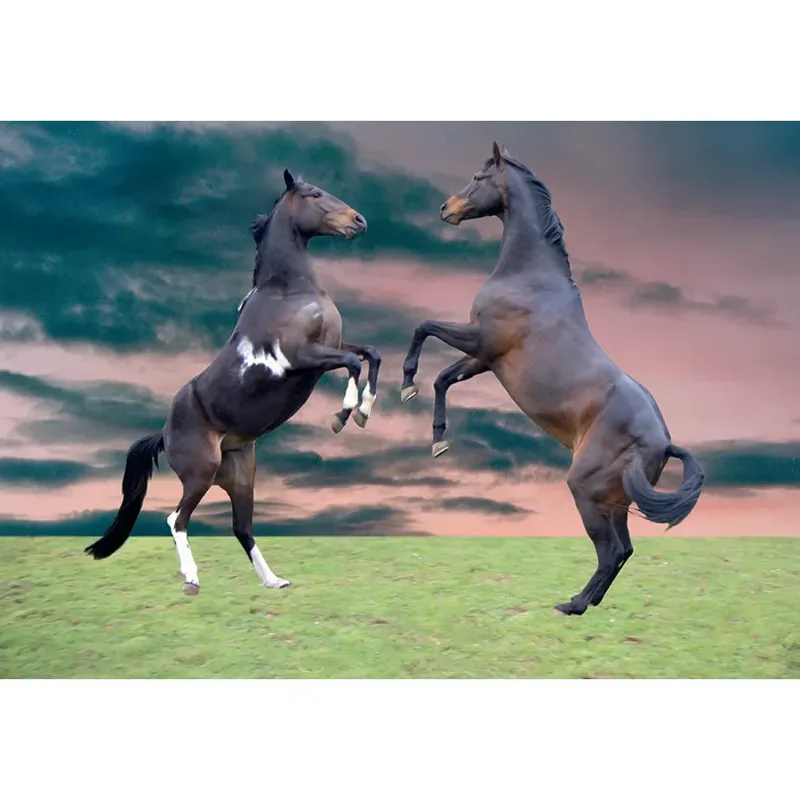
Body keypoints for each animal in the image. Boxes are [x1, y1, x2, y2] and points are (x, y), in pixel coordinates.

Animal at [85, 169, 381, 595]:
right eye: (314, 194)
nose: (359, 221)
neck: (288, 290)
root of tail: (163, 433)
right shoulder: (304, 357)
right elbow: (354, 363)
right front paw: (343, 415)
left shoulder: (332, 347)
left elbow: (370, 354)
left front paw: (364, 411)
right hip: (201, 474)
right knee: (177, 519)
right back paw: (191, 580)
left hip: (241, 477)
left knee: (241, 527)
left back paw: (274, 581)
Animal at [399, 142, 705, 616]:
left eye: (478, 177)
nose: (446, 208)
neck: (529, 277)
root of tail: (664, 441)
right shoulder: (486, 359)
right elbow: (444, 380)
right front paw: (437, 440)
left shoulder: (480, 339)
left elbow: (423, 328)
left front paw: (406, 383)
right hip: (613, 500)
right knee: (624, 549)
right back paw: (588, 603)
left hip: (586, 489)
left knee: (611, 550)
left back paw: (572, 605)